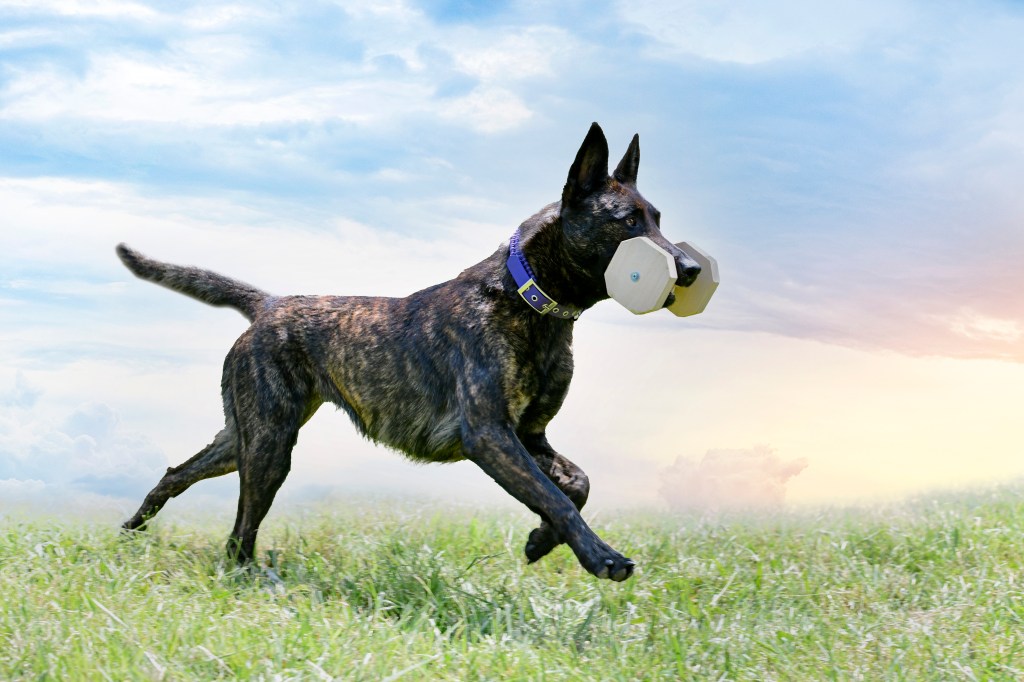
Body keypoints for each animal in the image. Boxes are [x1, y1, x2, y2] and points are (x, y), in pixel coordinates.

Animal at [116, 122, 700, 577]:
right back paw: (250, 577)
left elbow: (576, 483)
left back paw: (132, 529)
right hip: (268, 444)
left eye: (658, 219)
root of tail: (270, 305)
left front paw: (540, 542)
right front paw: (601, 556)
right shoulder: (490, 435)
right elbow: (556, 495)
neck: (528, 299)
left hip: (244, 434)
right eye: (628, 222)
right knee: (240, 532)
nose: (691, 269)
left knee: (178, 474)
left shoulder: (530, 435)